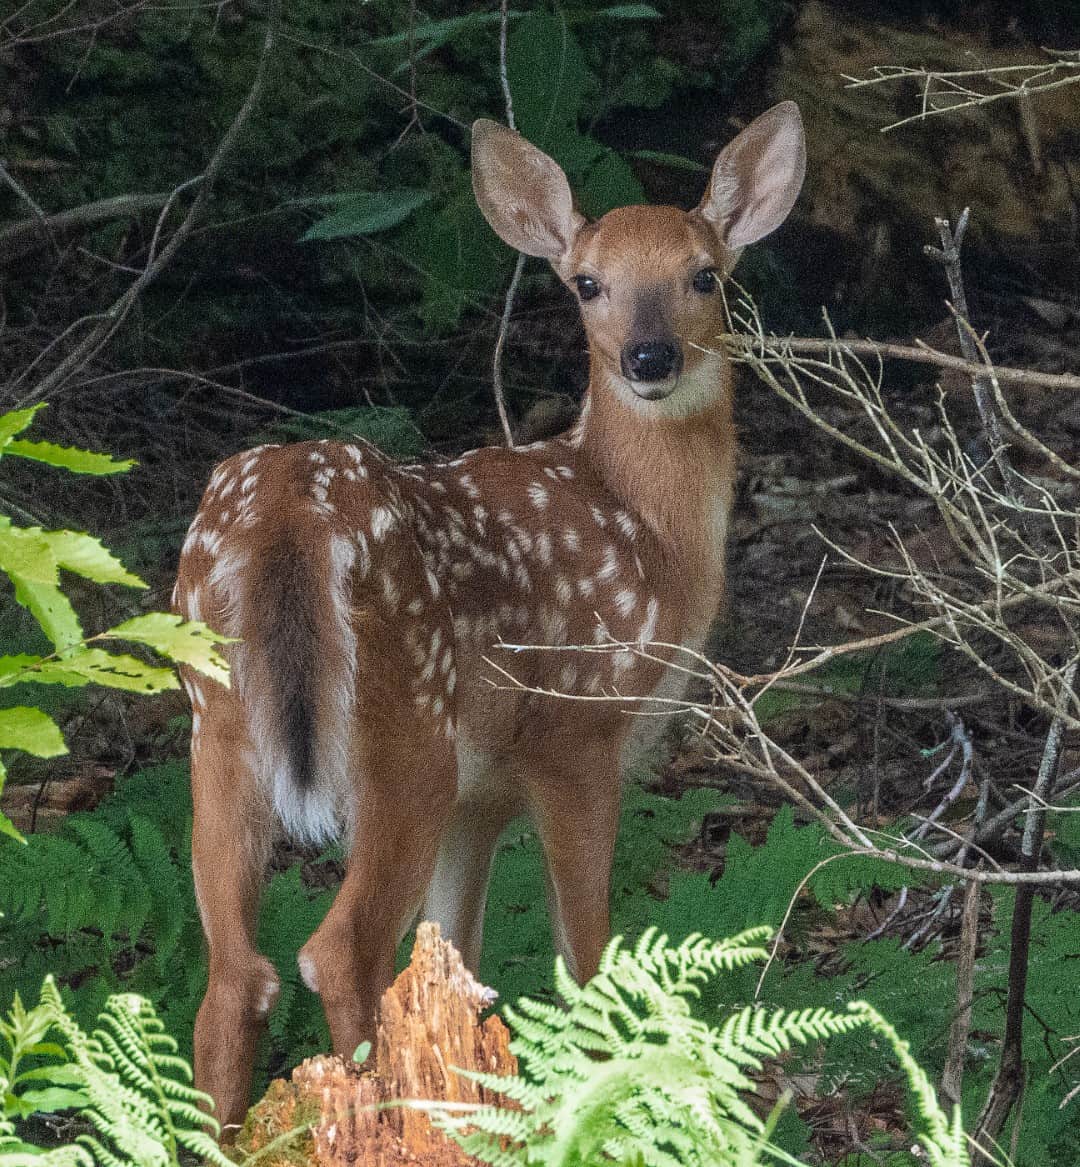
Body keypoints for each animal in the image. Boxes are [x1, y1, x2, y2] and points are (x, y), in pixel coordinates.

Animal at [173, 101, 805, 1131]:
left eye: (704, 274)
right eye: (588, 282)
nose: (650, 357)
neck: (649, 534)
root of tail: (286, 518)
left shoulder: (485, 794)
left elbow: (457, 960)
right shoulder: (576, 732)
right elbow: (586, 958)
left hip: (217, 722)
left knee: (236, 975)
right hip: (403, 733)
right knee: (334, 951)